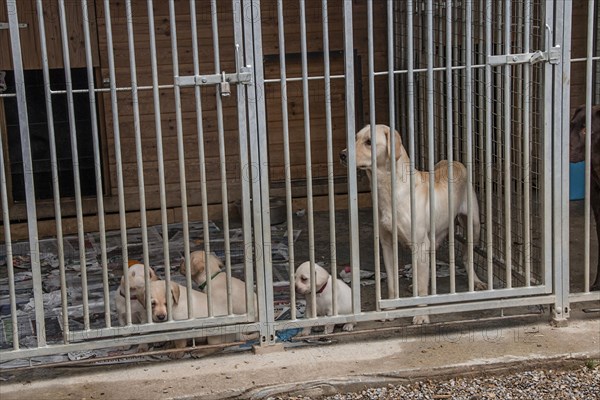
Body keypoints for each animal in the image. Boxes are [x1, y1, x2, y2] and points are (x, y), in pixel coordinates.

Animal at [340, 123, 486, 324]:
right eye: (355, 137)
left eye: (369, 142)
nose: (342, 155)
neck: (390, 188)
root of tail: (453, 162)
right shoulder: (387, 244)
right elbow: (392, 281)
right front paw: (391, 308)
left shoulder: (421, 244)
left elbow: (422, 288)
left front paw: (421, 315)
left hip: (474, 226)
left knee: (466, 257)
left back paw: (476, 282)